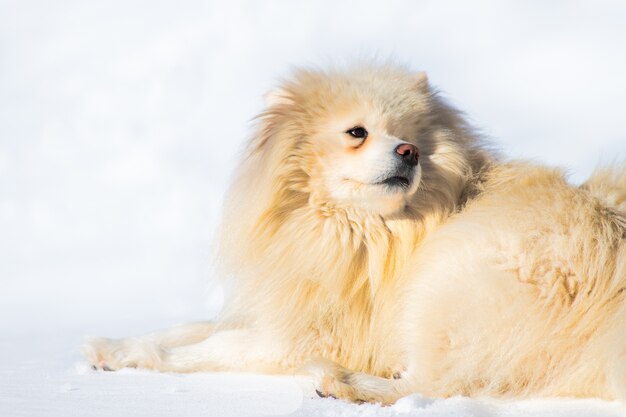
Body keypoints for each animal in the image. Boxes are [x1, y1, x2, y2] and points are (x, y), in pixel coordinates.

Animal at [83, 64, 624, 404]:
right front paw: (110, 346)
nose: (409, 151)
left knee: (437, 383)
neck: (359, 229)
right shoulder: (290, 309)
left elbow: (204, 350)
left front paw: (138, 358)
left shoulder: (311, 335)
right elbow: (187, 329)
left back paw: (341, 382)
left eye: (409, 136)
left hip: (444, 286)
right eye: (356, 132)